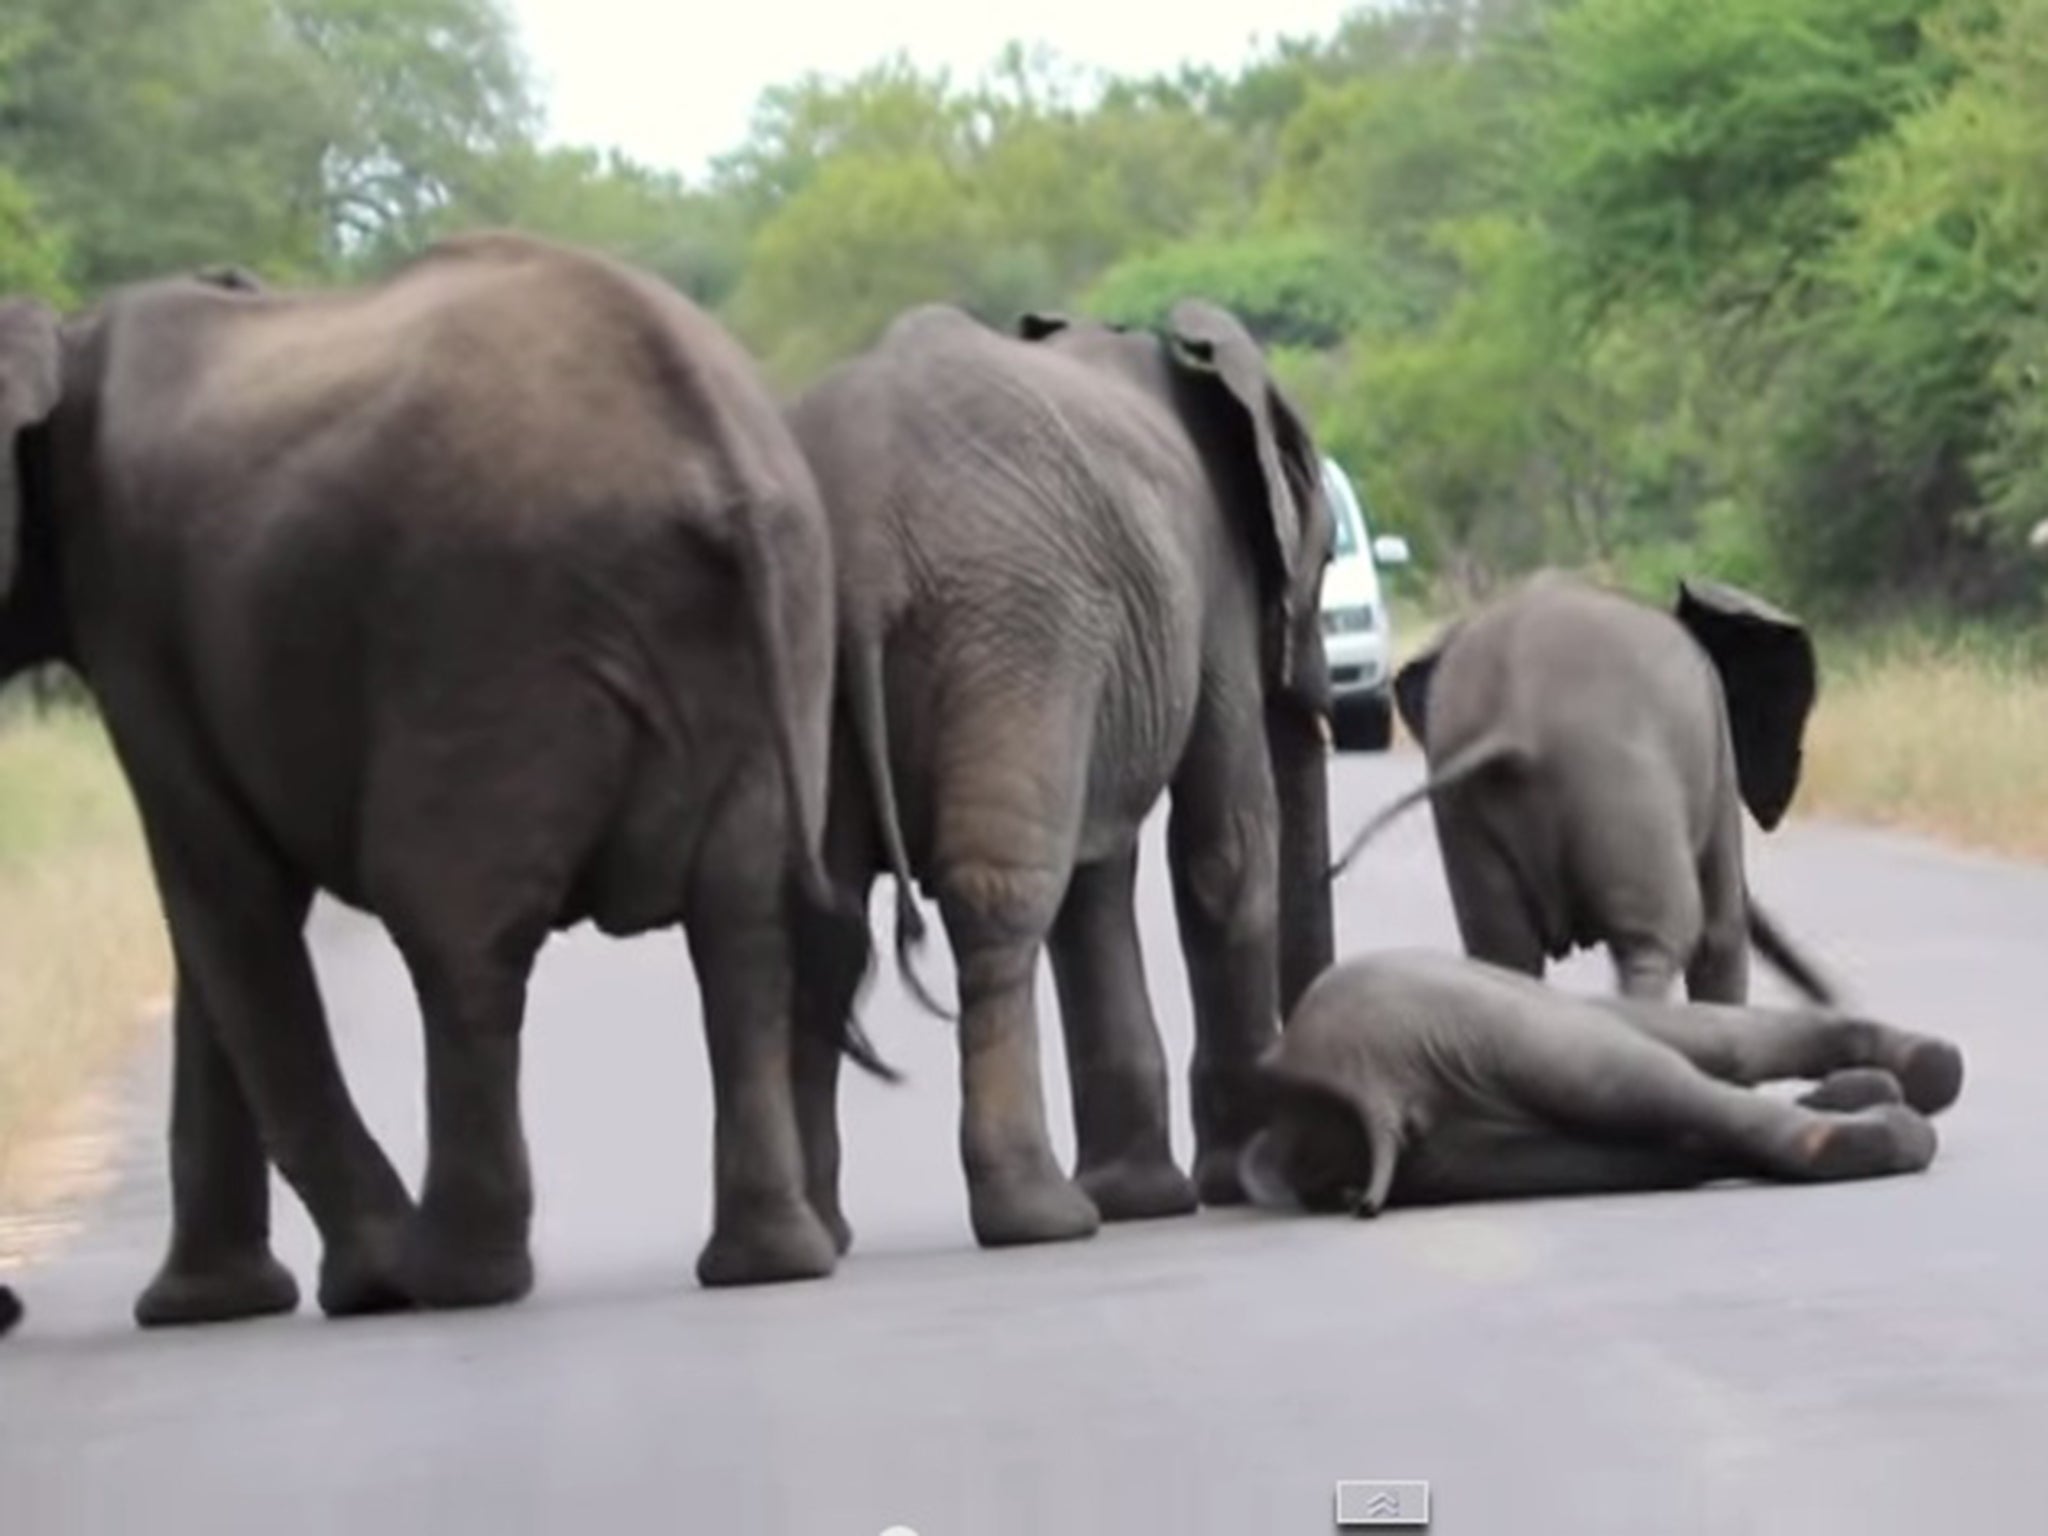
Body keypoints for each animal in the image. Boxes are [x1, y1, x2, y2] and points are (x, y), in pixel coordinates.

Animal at [0, 228, 888, 1335]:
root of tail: (711, 448)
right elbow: (214, 925)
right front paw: (207, 1309)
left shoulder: (132, 615)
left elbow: (223, 899)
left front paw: (355, 1288)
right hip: (781, 623)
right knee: (743, 927)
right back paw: (766, 1263)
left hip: (486, 632)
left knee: (459, 935)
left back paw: (451, 1281)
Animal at [786, 301, 1343, 1253]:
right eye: (1331, 556)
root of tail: (860, 543)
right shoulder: (1215, 584)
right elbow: (1225, 849)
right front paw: (1231, 1187)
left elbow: (1097, 882)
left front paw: (1144, 1199)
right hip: (1015, 629)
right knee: (998, 901)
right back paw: (1040, 1218)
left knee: (814, 916)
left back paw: (826, 1236)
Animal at [1335, 573, 1835, 1003]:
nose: (1833, 996)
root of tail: (1516, 718)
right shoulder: (1716, 749)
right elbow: (1721, 931)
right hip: (1619, 781)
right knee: (1660, 939)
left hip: (1468, 813)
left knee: (1505, 954)